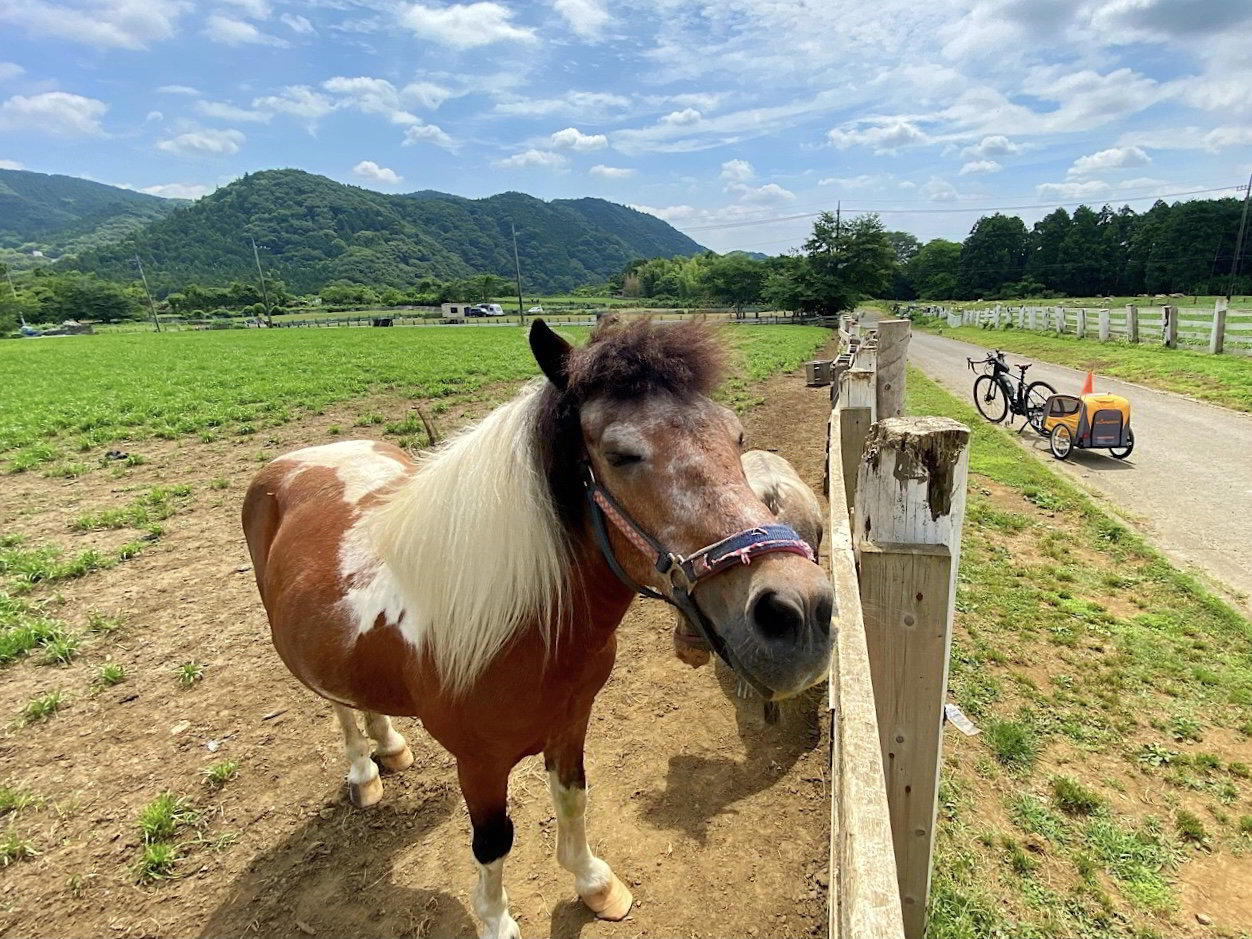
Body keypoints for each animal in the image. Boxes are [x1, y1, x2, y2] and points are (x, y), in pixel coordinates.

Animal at [241, 318, 834, 939]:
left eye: (736, 436)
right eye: (621, 454)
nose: (800, 612)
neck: (519, 627)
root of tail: (308, 455)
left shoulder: (570, 723)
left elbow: (573, 800)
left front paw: (595, 884)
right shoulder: (479, 763)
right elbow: (493, 843)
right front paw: (496, 921)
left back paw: (391, 747)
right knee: (339, 708)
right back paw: (363, 770)